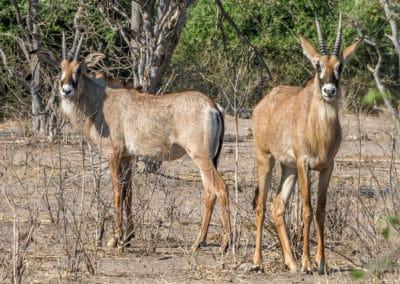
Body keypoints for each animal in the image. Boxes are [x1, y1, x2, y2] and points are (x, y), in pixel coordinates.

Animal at [34, 32, 231, 251]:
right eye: (60, 67)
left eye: (80, 69)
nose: (66, 90)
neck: (100, 101)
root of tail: (213, 106)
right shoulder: (128, 157)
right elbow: (129, 192)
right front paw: (128, 237)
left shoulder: (113, 154)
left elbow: (118, 191)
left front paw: (114, 239)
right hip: (206, 158)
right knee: (209, 191)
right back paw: (199, 242)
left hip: (200, 155)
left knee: (221, 187)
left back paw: (225, 242)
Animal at [253, 14, 362, 274]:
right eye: (317, 65)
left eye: (340, 66)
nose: (329, 91)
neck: (319, 132)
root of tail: (264, 102)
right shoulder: (305, 165)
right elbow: (306, 210)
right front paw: (307, 263)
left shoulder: (326, 167)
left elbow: (321, 211)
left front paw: (321, 263)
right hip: (266, 159)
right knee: (261, 205)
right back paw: (258, 262)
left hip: (288, 168)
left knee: (278, 205)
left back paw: (290, 262)